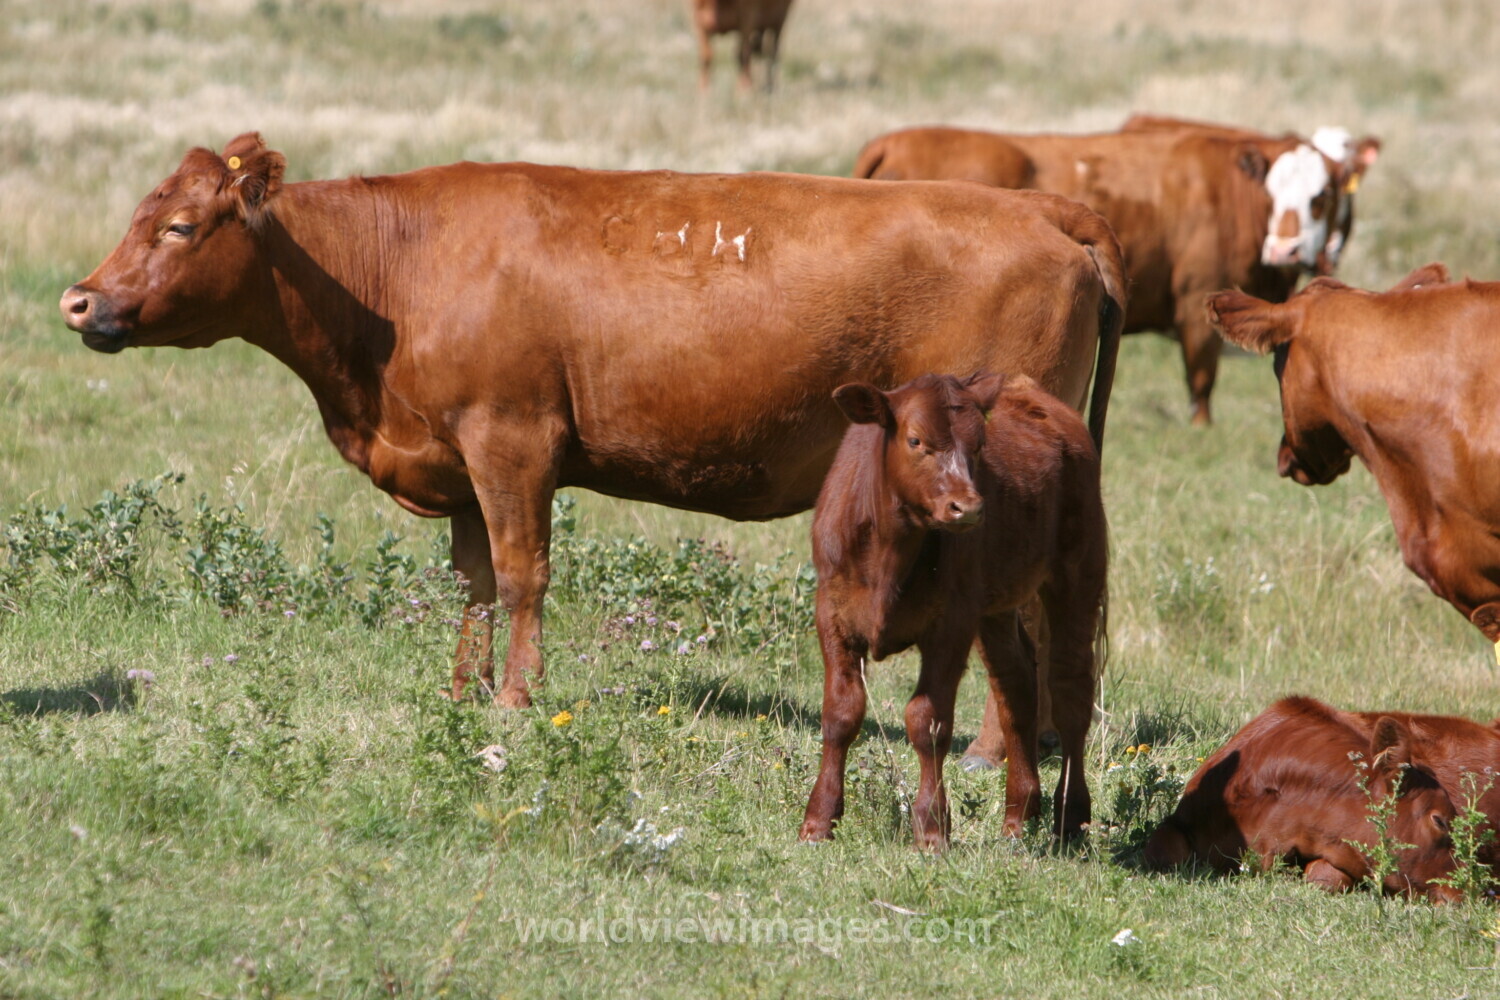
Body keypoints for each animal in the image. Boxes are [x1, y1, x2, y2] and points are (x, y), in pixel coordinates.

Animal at [60, 133, 1124, 712]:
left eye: (179, 227)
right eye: (141, 211)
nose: (80, 301)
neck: (397, 275)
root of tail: (1044, 208)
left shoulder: (514, 441)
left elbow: (523, 575)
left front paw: (516, 699)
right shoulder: (460, 463)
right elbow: (473, 584)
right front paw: (462, 692)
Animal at [800, 372, 1107, 849]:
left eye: (978, 446)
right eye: (915, 440)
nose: (970, 507)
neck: (889, 550)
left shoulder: (951, 623)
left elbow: (927, 722)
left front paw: (931, 827)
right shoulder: (832, 613)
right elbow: (840, 713)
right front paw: (818, 820)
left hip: (1078, 572)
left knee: (1070, 691)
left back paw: (1070, 817)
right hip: (996, 605)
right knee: (1016, 686)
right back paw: (1018, 817)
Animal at [853, 124, 1341, 425]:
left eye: (1321, 197)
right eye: (1274, 192)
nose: (1286, 248)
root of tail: (895, 141)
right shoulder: (1197, 303)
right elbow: (1201, 386)